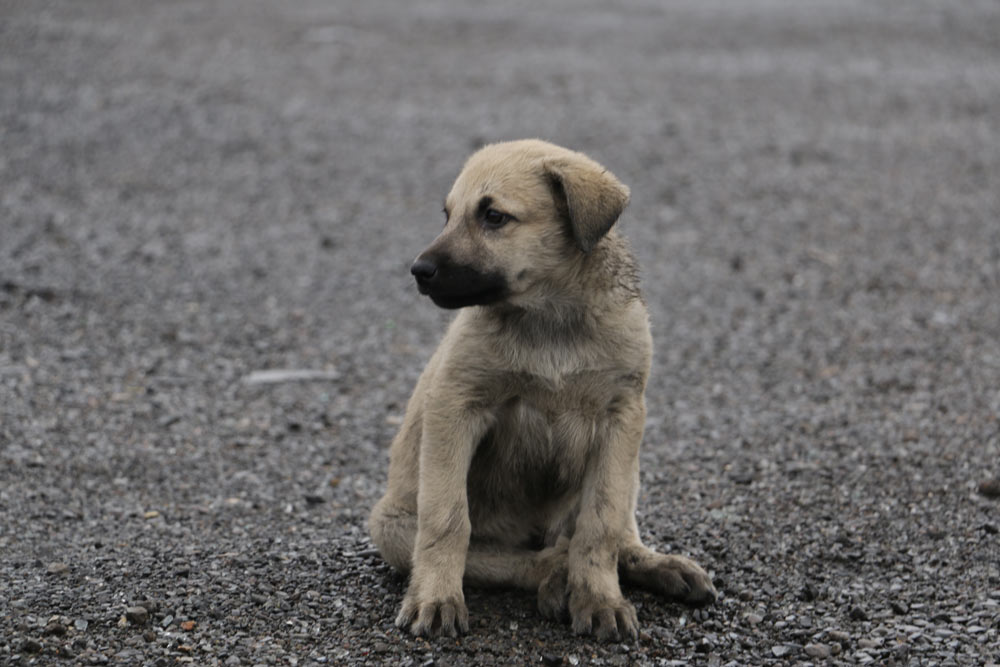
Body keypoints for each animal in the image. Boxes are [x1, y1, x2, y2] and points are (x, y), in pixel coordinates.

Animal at [372, 137, 716, 640]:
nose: (419, 270)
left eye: (493, 216)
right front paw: (436, 598)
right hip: (392, 528)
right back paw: (554, 574)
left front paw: (599, 597)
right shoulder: (455, 405)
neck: (550, 317)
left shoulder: (622, 417)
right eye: (448, 215)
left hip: (629, 462)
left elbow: (602, 522)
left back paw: (651, 564)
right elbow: (449, 521)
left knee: (614, 531)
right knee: (513, 556)